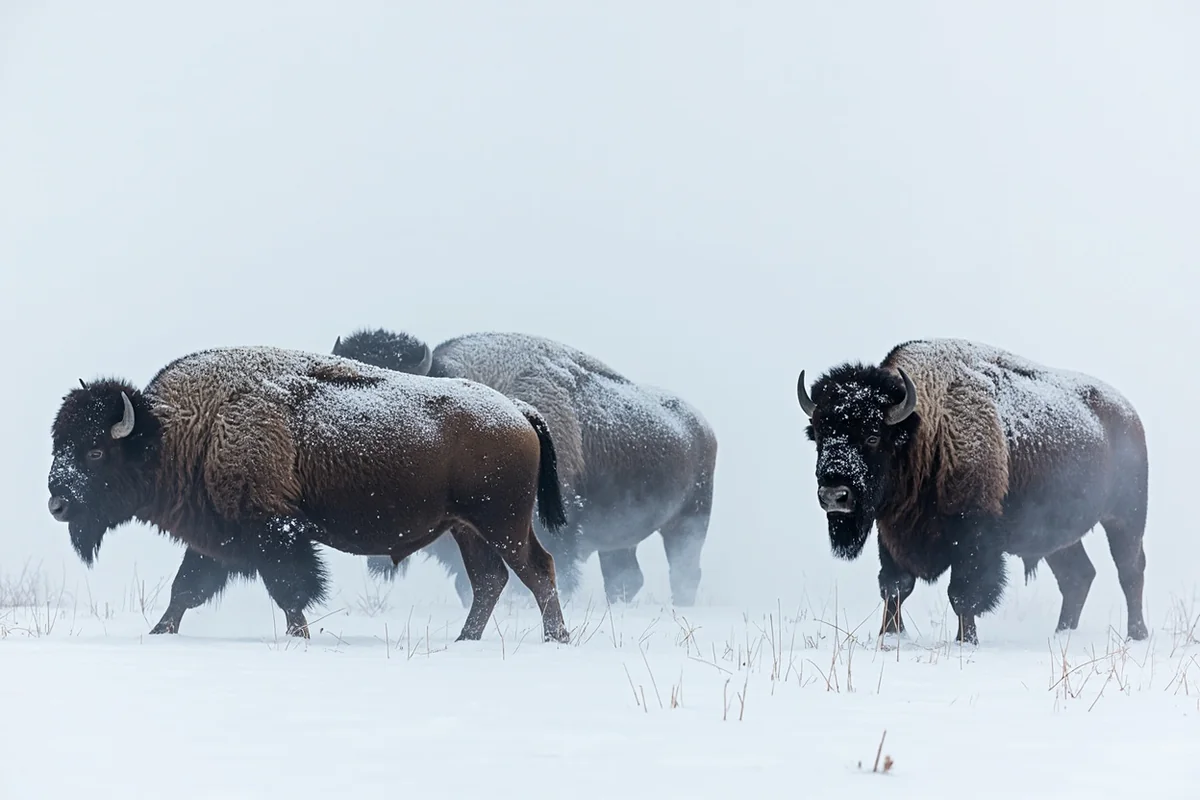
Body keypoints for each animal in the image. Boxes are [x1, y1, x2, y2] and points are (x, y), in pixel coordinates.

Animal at [47, 345, 572, 643]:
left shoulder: (275, 533)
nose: (57, 503)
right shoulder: (215, 538)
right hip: (466, 528)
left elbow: (289, 591)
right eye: (59, 443)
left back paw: (556, 639)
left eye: (95, 451)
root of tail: (518, 411)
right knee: (490, 581)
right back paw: (466, 641)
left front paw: (300, 638)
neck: (177, 430)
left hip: (503, 523)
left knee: (537, 570)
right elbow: (184, 590)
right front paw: (159, 634)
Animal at [797, 338, 1149, 645]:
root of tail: (1129, 414)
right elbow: (895, 587)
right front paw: (889, 637)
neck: (927, 428)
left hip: (1125, 519)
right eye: (820, 436)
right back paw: (1062, 634)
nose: (834, 495)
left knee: (1130, 570)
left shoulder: (973, 535)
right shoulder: (892, 532)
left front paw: (967, 641)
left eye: (872, 436)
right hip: (1055, 536)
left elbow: (963, 594)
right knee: (1077, 576)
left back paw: (1136, 634)